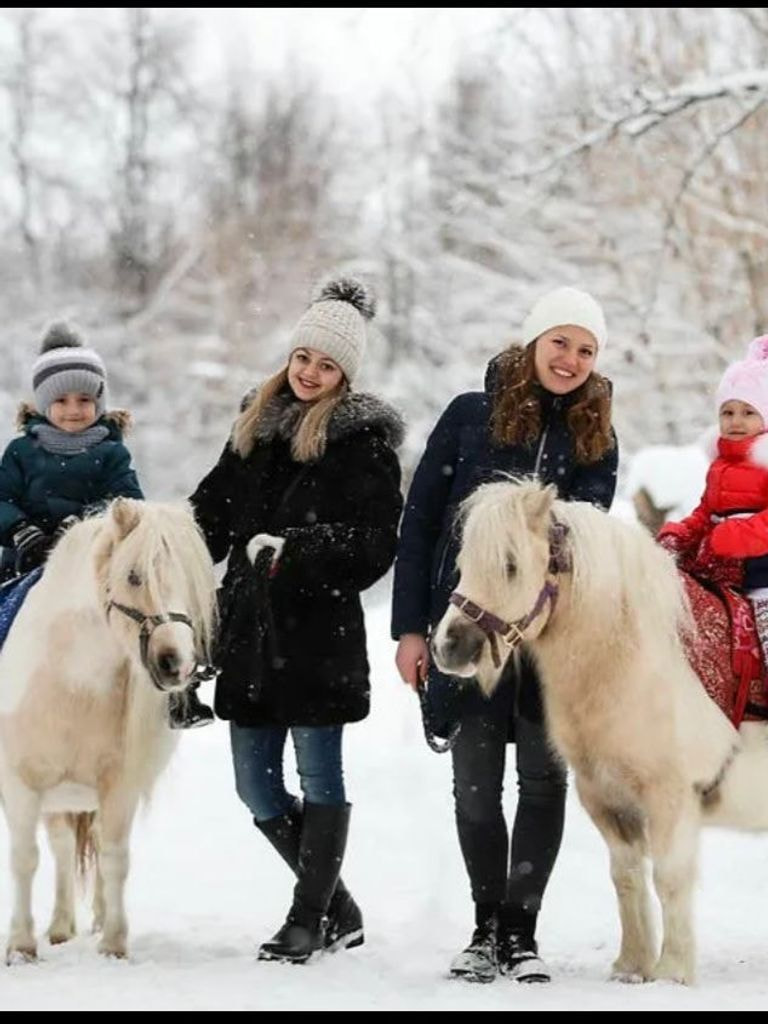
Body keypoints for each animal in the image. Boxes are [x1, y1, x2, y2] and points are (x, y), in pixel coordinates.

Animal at [0, 499, 215, 962]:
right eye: (134, 575)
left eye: (191, 579)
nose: (176, 664)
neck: (72, 681)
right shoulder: (20, 783)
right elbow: (25, 858)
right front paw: (21, 946)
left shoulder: (119, 787)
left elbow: (115, 857)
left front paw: (114, 943)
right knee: (60, 845)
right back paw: (58, 929)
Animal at [434, 479, 768, 983]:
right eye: (462, 563)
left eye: (510, 564)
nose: (449, 647)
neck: (633, 658)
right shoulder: (604, 796)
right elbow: (626, 877)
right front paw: (631, 967)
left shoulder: (671, 797)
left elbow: (669, 877)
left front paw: (671, 972)